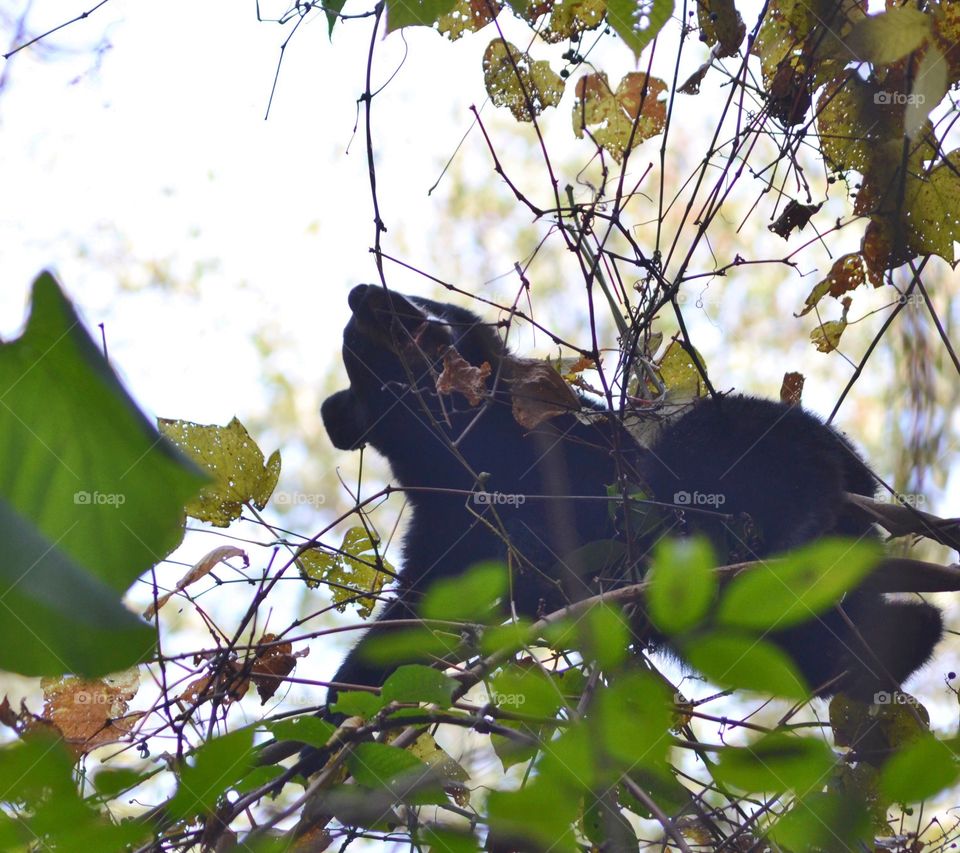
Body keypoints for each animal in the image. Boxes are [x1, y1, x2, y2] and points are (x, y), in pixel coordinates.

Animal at [320, 283, 942, 703]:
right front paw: (345, 703)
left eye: (426, 302)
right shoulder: (450, 527)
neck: (467, 449)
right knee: (805, 647)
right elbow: (424, 611)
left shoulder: (568, 439)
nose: (363, 295)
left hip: (753, 448)